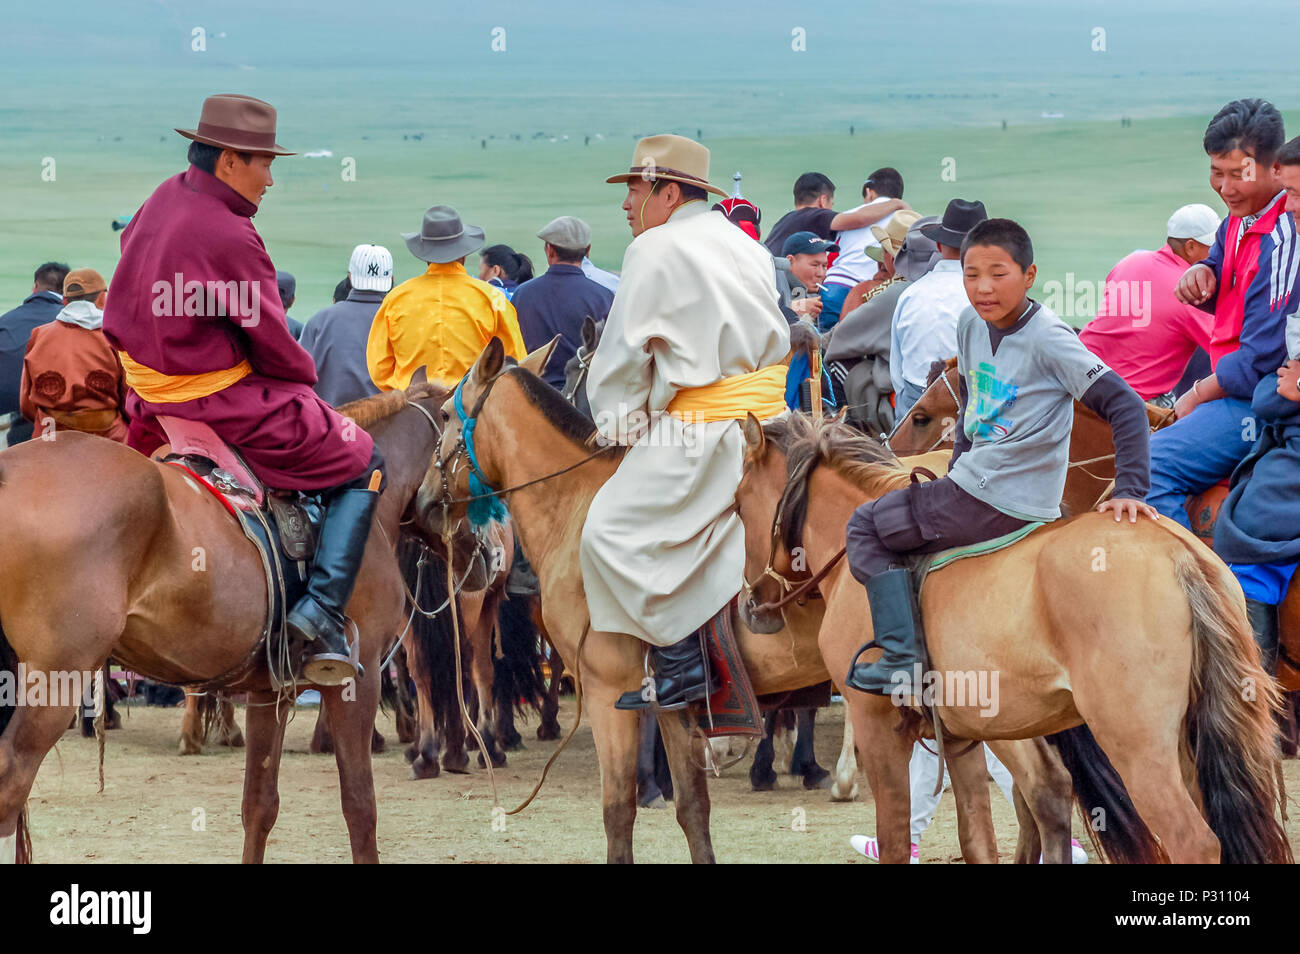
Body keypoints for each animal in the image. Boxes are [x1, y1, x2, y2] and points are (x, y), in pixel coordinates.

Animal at [0, 382, 462, 868]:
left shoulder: (269, 691)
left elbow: (259, 805)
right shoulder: (358, 679)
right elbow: (360, 805)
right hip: (56, 677)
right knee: (12, 781)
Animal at [738, 413, 1284, 868]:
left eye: (739, 507)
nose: (752, 602)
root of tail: (1178, 553)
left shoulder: (877, 726)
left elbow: (895, 841)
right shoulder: (961, 735)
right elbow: (978, 838)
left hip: (1138, 748)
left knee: (1192, 840)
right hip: (1183, 744)